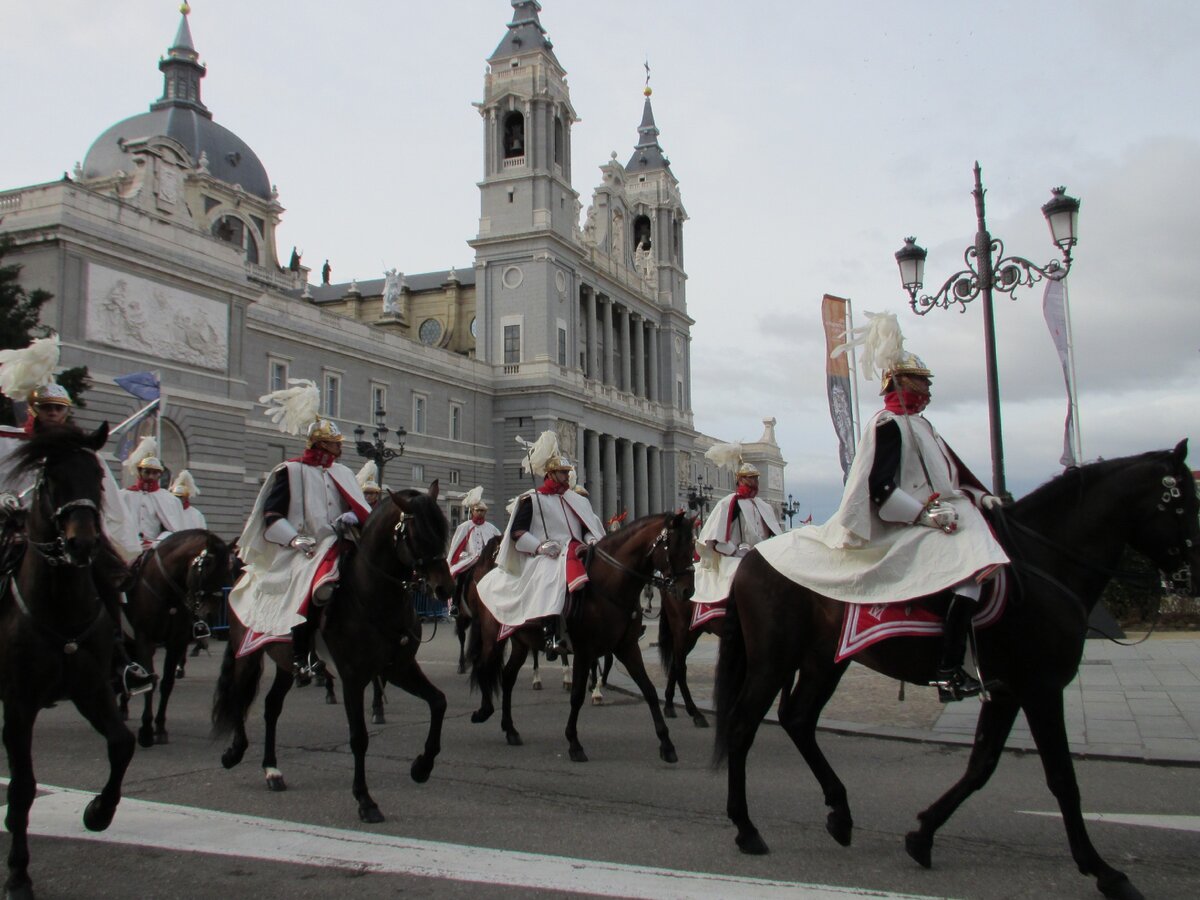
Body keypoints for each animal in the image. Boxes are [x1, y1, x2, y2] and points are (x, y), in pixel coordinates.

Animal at [0, 424, 136, 900]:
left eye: (97, 477)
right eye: (50, 480)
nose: (83, 543)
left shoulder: (92, 688)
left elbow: (122, 743)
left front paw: (98, 811)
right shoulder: (19, 703)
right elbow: (23, 786)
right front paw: (18, 873)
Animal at [123, 532, 232, 748]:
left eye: (228, 570)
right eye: (206, 565)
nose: (210, 615)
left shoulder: (176, 642)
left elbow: (167, 684)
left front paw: (160, 728)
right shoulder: (145, 639)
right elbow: (151, 682)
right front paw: (146, 730)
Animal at [211, 487, 453, 825]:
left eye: (443, 529)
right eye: (417, 534)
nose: (445, 589)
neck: (373, 596)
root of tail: (243, 574)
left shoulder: (399, 668)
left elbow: (438, 702)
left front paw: (422, 766)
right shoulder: (353, 676)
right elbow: (359, 737)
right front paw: (365, 800)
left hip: (286, 663)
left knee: (271, 707)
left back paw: (272, 769)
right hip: (246, 653)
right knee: (238, 696)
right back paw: (235, 752)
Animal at [468, 513, 696, 763]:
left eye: (693, 545)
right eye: (674, 546)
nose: (688, 591)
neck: (608, 585)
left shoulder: (627, 647)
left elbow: (649, 690)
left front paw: (666, 744)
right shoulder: (585, 651)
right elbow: (576, 695)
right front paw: (574, 743)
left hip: (521, 641)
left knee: (507, 677)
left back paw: (510, 729)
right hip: (493, 635)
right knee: (483, 666)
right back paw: (484, 711)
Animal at [710, 444, 1200, 900]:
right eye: (1180, 504)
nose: (1189, 579)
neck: (1043, 565)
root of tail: (752, 559)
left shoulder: (1007, 691)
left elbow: (981, 765)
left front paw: (922, 835)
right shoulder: (1041, 689)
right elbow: (1062, 779)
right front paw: (1104, 871)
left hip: (823, 660)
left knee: (797, 720)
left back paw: (840, 815)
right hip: (774, 660)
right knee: (742, 726)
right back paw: (746, 828)